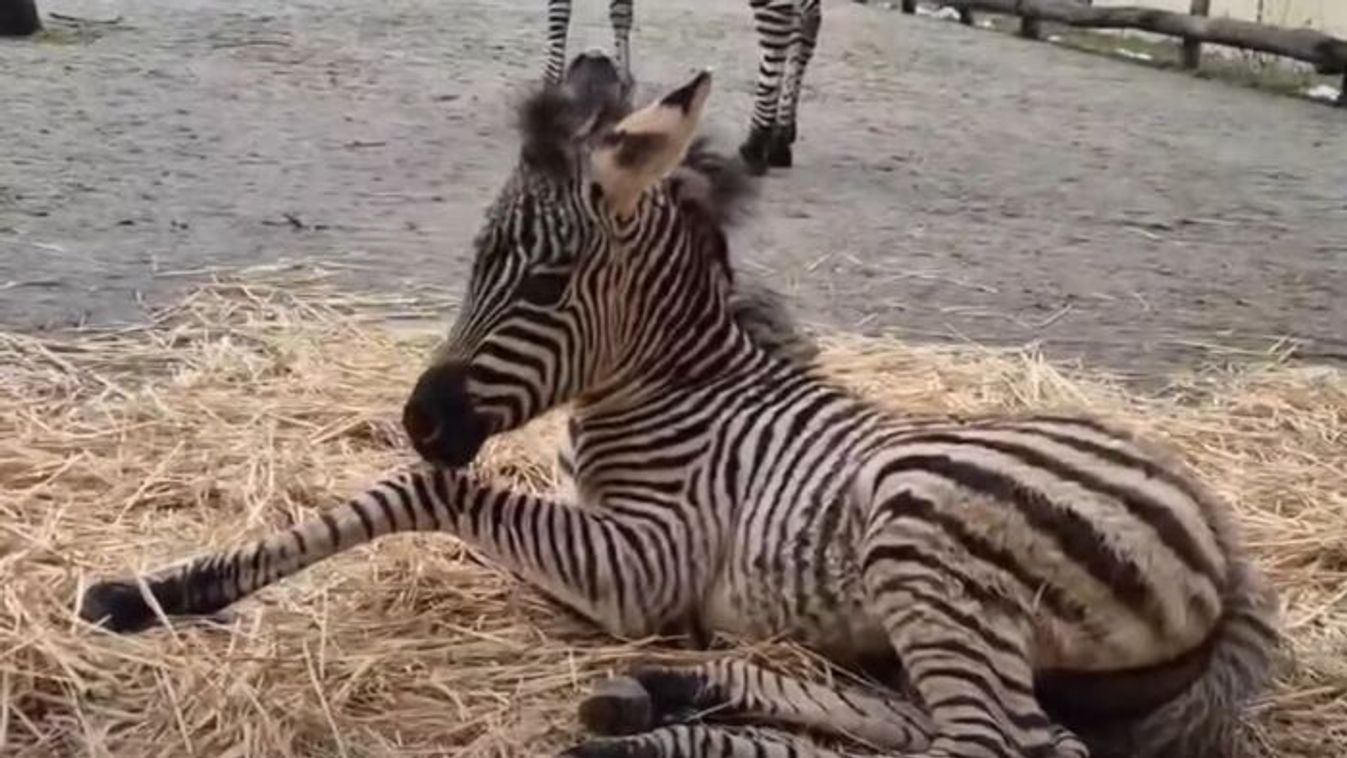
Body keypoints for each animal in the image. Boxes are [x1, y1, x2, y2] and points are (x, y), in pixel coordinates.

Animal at [79, 52, 1279, 758]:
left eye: (546, 283)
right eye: (473, 263)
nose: (421, 417)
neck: (675, 391)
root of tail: (1228, 545)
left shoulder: (640, 571)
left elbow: (419, 492)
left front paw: (177, 582)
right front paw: (159, 589)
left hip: (918, 520)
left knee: (988, 750)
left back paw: (643, 727)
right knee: (929, 723)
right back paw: (654, 701)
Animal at [543, 0, 822, 176]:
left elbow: (559, 12)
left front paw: (550, 84)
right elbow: (621, 11)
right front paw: (624, 87)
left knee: (780, 25)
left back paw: (756, 143)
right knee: (809, 17)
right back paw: (781, 137)